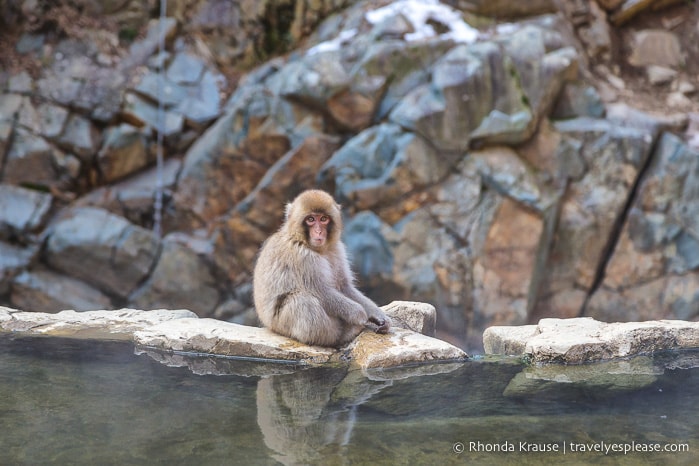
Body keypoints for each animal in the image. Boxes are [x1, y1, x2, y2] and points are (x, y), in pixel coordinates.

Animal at [253, 188, 394, 346]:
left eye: (323, 219)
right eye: (310, 219)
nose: (319, 231)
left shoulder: (337, 249)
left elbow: (343, 287)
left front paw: (378, 315)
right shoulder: (303, 256)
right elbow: (320, 290)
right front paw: (360, 314)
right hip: (281, 324)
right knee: (302, 299)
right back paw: (340, 335)